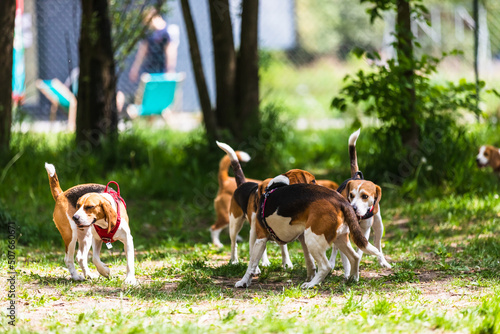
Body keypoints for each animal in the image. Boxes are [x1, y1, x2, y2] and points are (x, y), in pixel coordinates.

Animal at [217, 141, 384, 288]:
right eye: (313, 180)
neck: (277, 186)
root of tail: (341, 201)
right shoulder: (301, 237)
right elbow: (309, 262)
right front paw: (309, 274)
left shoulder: (260, 237)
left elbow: (252, 263)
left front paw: (244, 281)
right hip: (339, 238)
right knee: (355, 257)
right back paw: (352, 279)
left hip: (313, 238)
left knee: (326, 266)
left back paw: (311, 284)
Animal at [330, 129, 392, 274]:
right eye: (351, 195)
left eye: (365, 196)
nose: (353, 208)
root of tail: (356, 176)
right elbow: (344, 254)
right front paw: (348, 271)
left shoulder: (365, 230)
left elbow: (360, 250)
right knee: (335, 248)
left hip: (379, 224)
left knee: (377, 243)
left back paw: (383, 261)